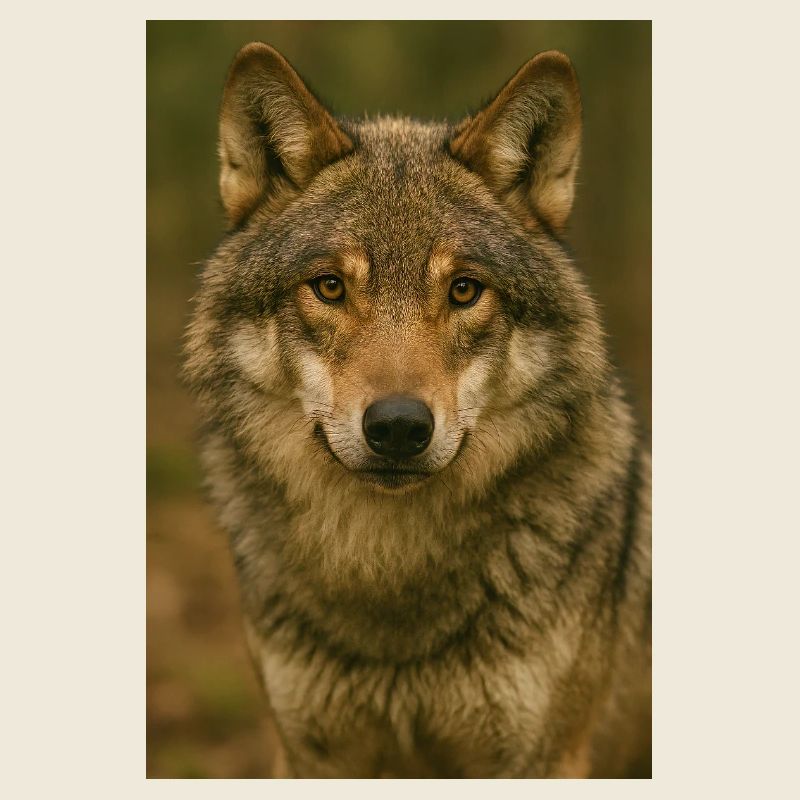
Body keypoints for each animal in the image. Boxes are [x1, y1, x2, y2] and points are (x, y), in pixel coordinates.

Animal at [183, 42, 651, 778]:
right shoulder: (310, 754)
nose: (399, 427)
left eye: (464, 290)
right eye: (329, 287)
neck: (390, 580)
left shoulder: (544, 758)